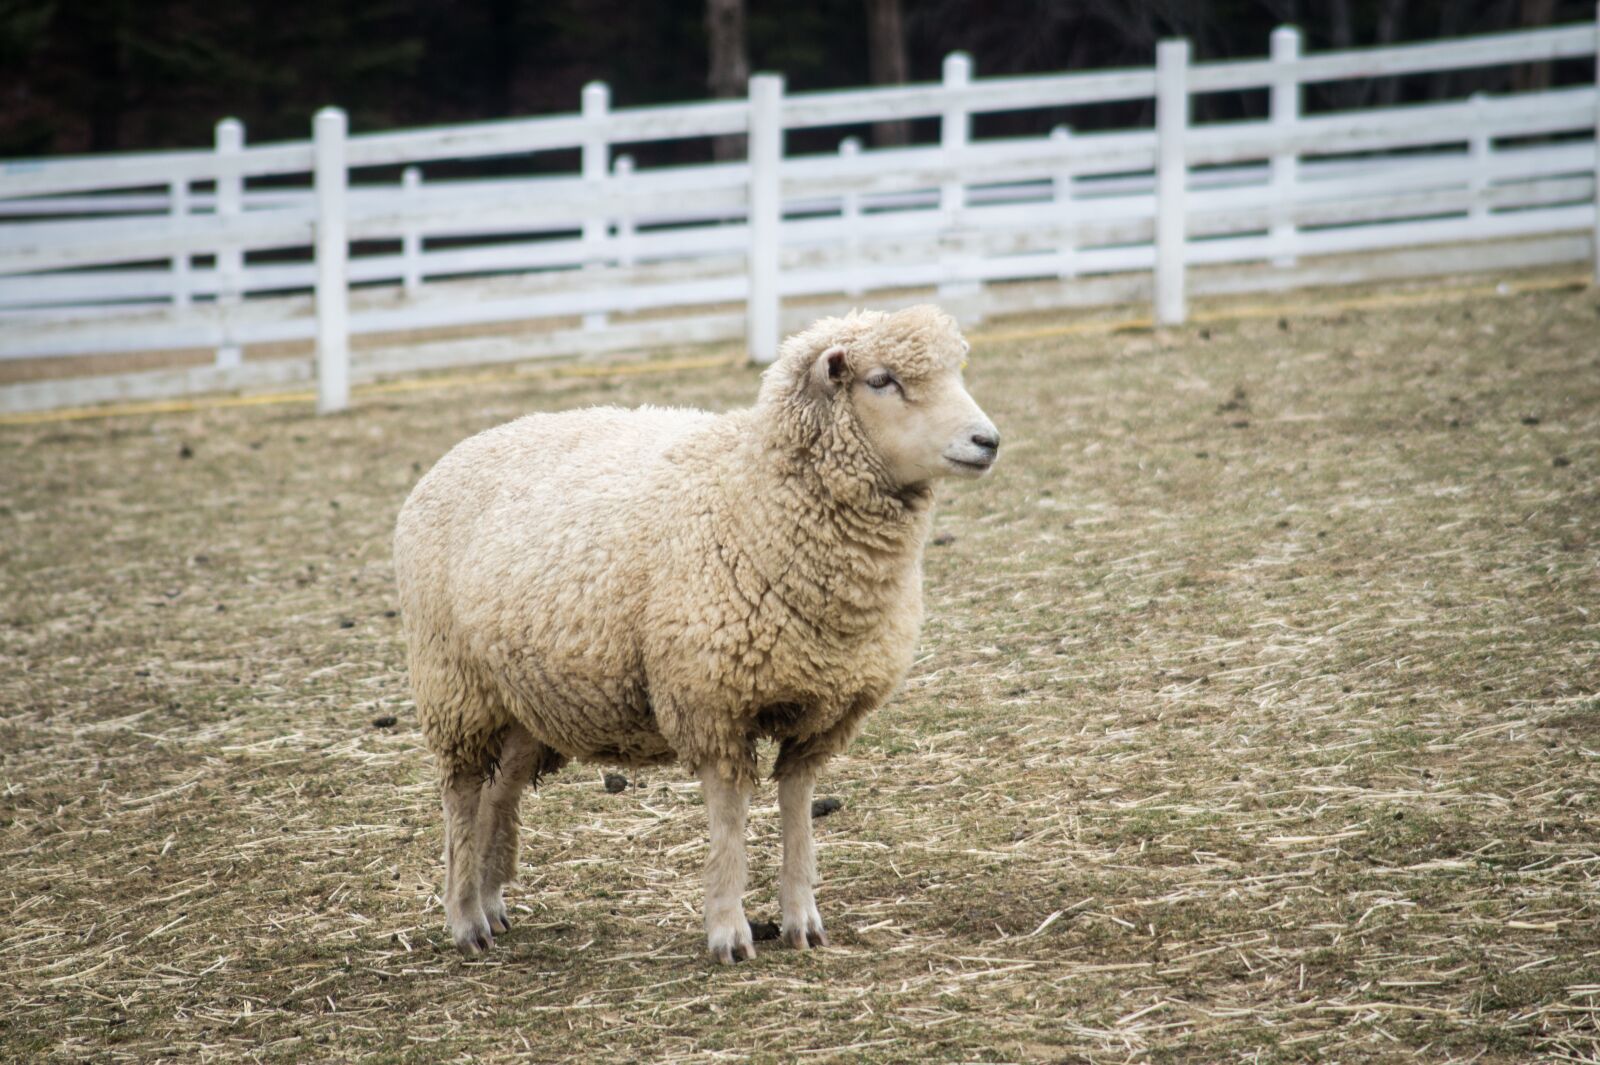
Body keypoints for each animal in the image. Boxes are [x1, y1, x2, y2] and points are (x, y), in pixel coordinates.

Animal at [393, 304, 999, 962]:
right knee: (461, 797)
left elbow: (798, 808)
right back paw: (464, 918)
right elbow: (729, 819)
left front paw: (802, 920)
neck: (751, 497)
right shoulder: (711, 701)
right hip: (454, 685)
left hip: (527, 696)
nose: (988, 441)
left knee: (499, 795)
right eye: (882, 380)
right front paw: (729, 931)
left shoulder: (822, 712)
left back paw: (492, 903)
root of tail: (460, 450)